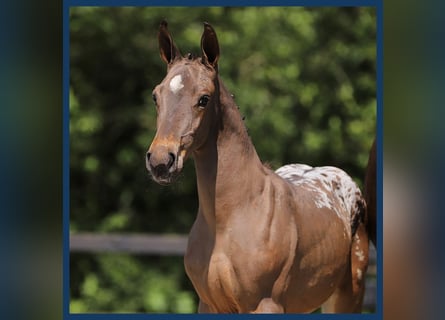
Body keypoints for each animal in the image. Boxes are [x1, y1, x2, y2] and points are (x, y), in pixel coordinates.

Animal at [146, 21, 368, 314]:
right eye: (155, 96)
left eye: (204, 99)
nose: (161, 161)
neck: (229, 219)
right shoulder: (209, 304)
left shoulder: (264, 304)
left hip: (347, 296)